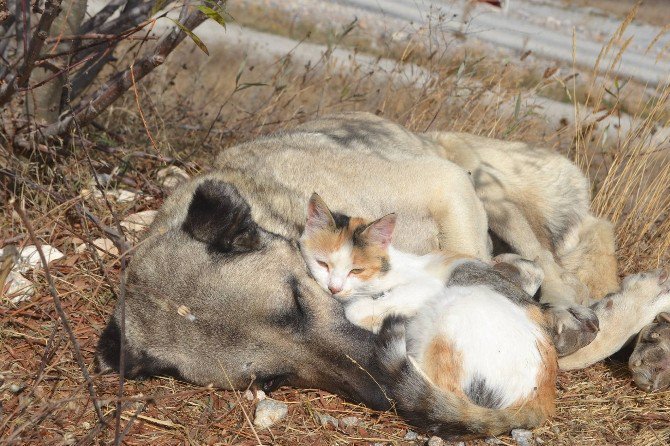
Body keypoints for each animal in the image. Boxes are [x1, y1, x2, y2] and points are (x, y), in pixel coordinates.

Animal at [302, 193, 560, 420]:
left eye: (356, 270)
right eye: (322, 264)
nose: (334, 288)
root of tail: (541, 396)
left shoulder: (426, 286)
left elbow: (358, 309)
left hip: (454, 306)